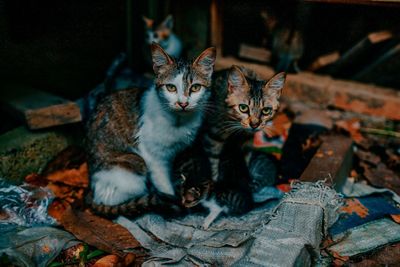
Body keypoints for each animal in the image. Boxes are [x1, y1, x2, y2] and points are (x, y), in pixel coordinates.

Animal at [85, 43, 216, 208]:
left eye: (195, 87)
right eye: (171, 88)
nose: (183, 103)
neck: (179, 121)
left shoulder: (176, 151)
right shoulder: (154, 158)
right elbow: (164, 184)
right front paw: (171, 196)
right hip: (135, 163)